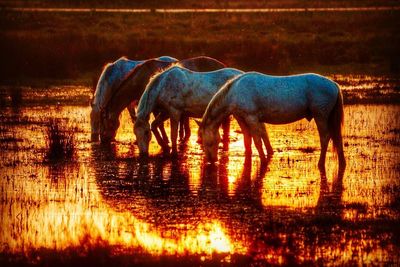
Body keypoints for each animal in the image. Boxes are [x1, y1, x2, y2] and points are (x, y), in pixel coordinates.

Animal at [198, 73, 346, 174]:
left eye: (208, 142)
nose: (211, 160)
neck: (235, 91)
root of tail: (334, 85)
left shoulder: (252, 118)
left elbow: (257, 141)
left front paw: (263, 160)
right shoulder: (242, 119)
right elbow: (247, 141)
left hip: (321, 116)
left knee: (325, 137)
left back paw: (320, 163)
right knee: (337, 139)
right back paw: (342, 163)